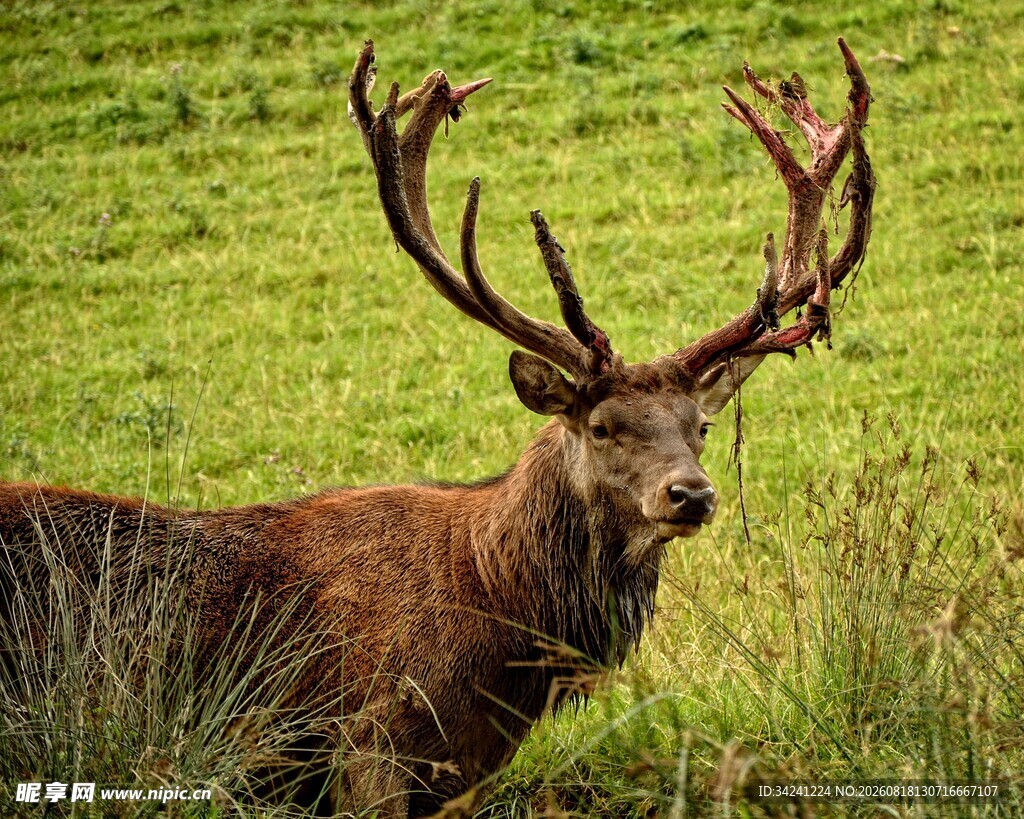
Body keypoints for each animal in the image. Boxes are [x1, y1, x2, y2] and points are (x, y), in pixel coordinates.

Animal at [0, 38, 873, 818]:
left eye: (698, 426)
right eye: (601, 425)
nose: (691, 493)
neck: (498, 628)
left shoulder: (463, 772)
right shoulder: (370, 742)